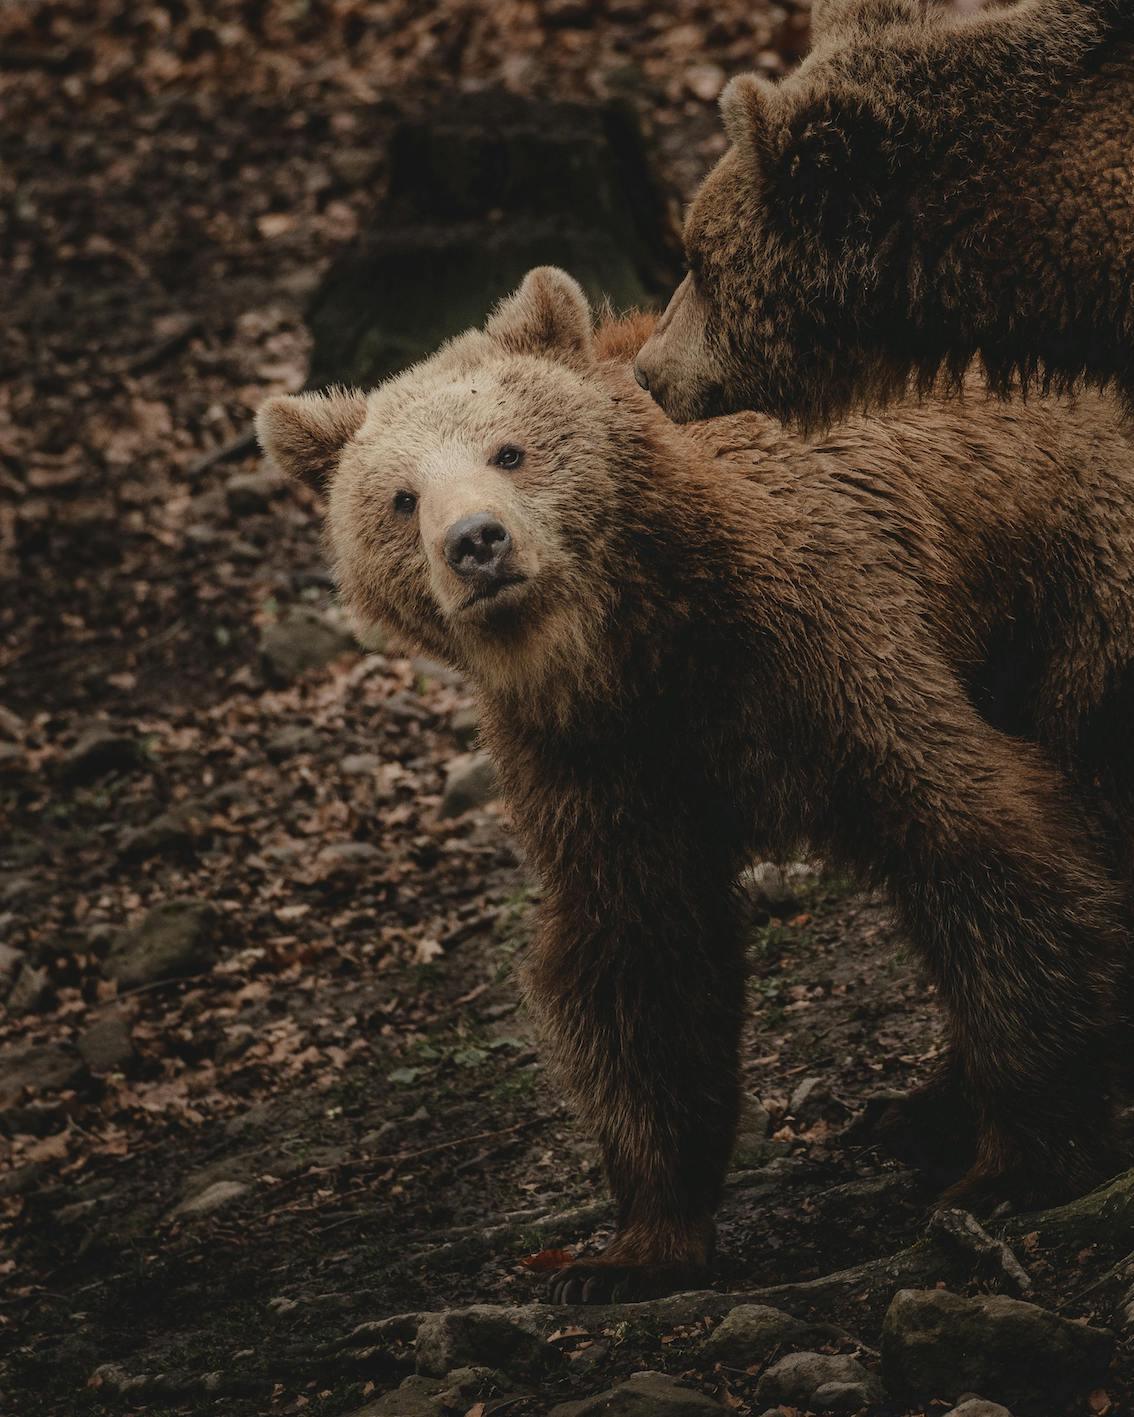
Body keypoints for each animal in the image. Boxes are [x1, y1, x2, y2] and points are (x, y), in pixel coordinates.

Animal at [259, 267, 1134, 1303]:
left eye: (510, 449)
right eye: (401, 497)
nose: (476, 542)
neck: (643, 634)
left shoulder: (826, 643)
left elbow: (978, 841)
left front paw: (1019, 1160)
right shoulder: (602, 763)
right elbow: (642, 958)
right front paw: (628, 1248)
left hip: (1079, 593)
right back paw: (915, 1109)